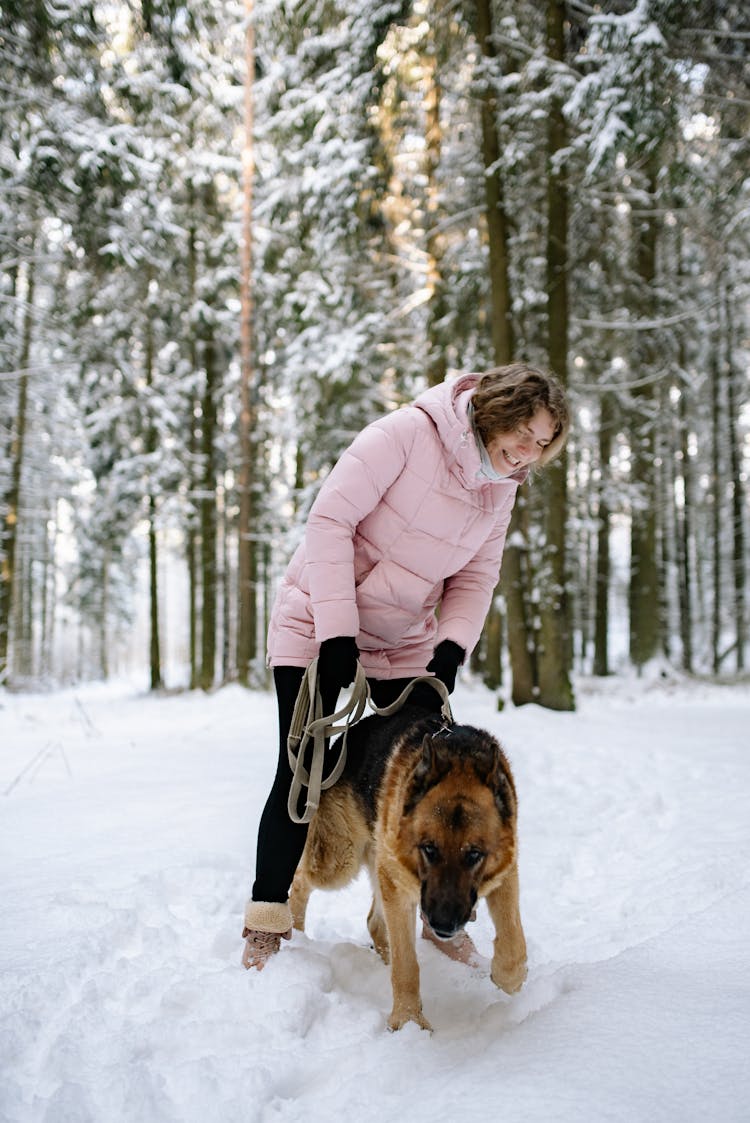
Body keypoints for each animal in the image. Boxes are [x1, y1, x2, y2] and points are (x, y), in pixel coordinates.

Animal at [289, 705, 527, 1028]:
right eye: (429, 848)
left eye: (474, 855)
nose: (443, 925)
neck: (459, 755)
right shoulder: (400, 891)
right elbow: (406, 966)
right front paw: (408, 1021)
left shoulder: (504, 874)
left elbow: (514, 940)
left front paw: (508, 977)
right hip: (340, 861)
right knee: (300, 880)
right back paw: (295, 934)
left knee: (374, 922)